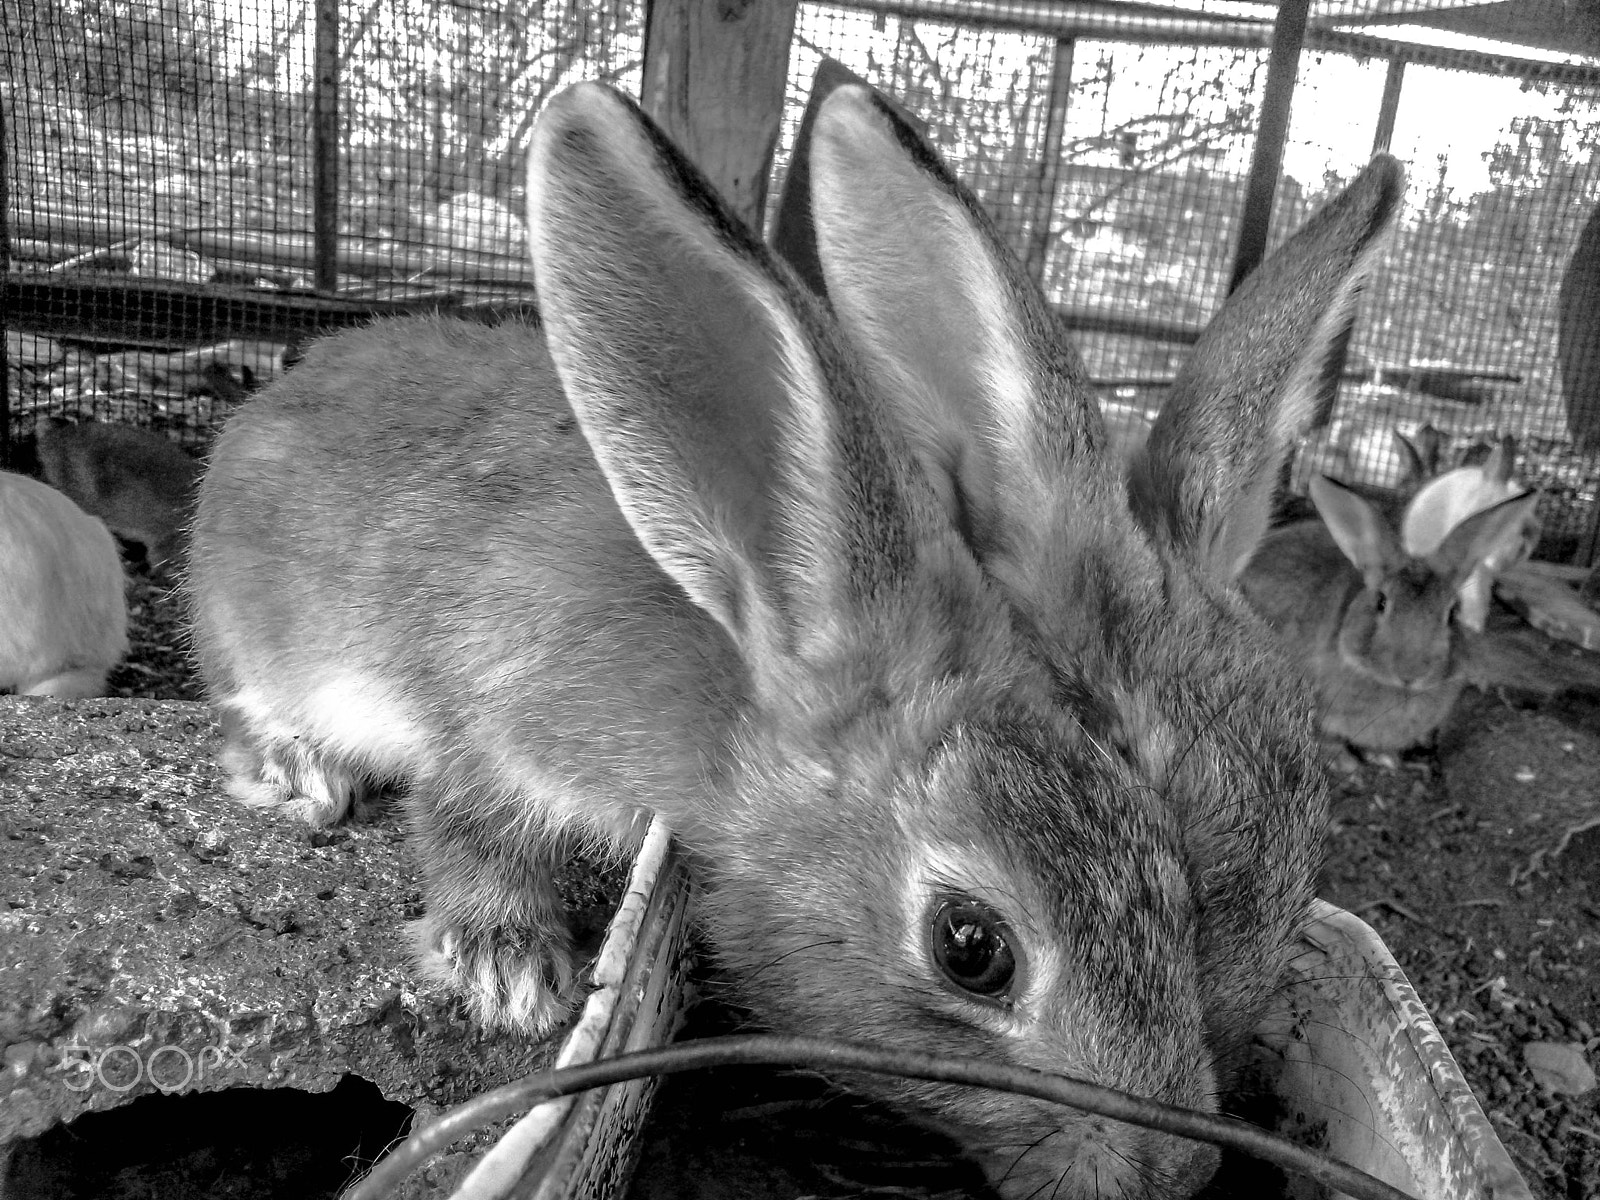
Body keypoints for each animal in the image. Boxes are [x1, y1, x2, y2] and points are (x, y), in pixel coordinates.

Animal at [188, 80, 1402, 1200]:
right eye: (972, 949)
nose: (1174, 1169)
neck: (751, 666)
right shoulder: (502, 715)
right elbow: (469, 816)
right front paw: (507, 971)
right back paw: (294, 772)